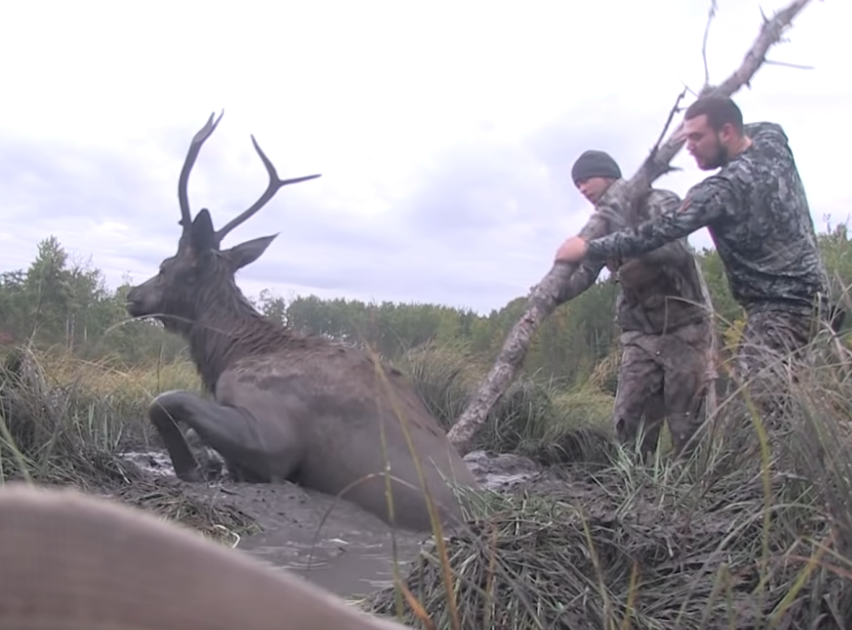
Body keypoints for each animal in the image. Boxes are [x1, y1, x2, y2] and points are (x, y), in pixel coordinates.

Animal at [125, 112, 480, 532]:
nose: (131, 295)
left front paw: (193, 470)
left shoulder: (271, 433)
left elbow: (166, 400)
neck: (231, 353)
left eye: (165, 266)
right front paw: (208, 463)